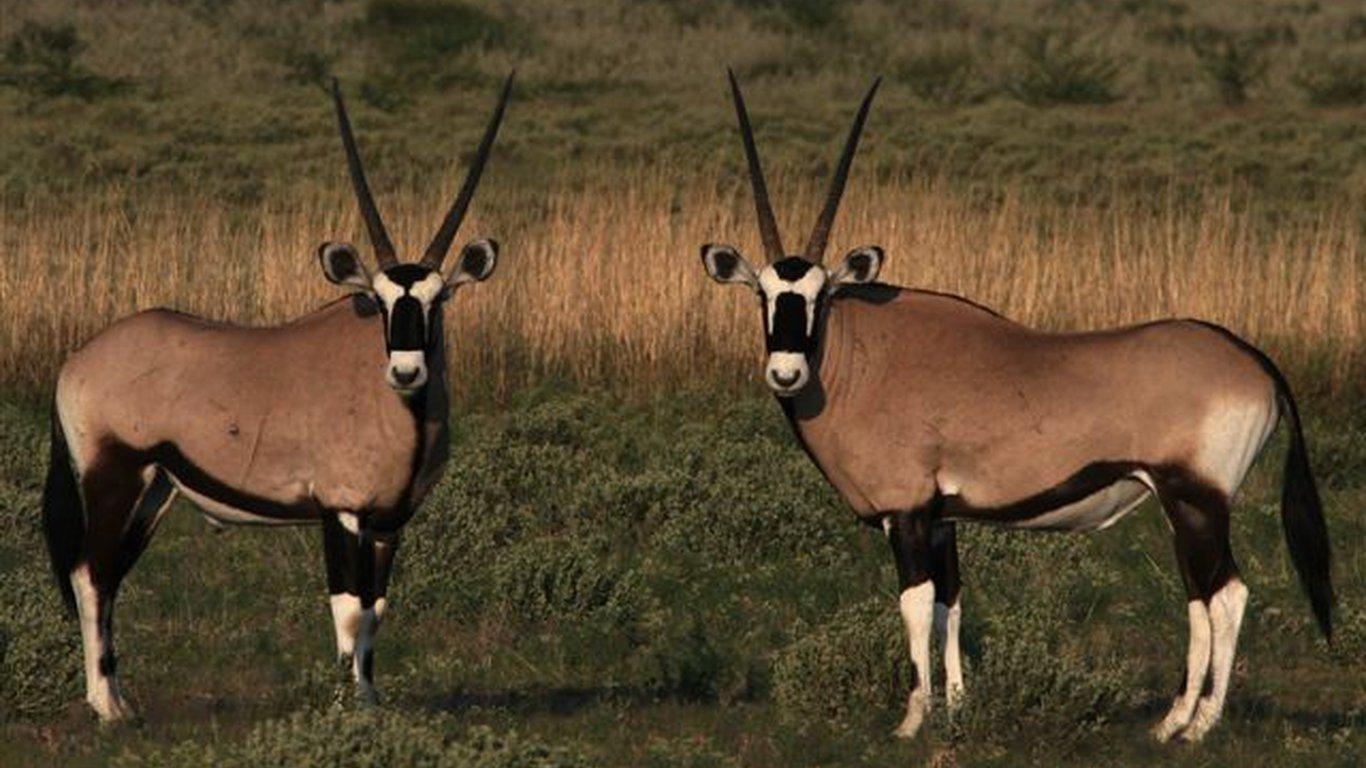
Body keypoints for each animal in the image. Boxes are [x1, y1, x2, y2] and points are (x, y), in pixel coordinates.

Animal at [42, 74, 513, 721]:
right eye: (381, 301)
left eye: (438, 301)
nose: (406, 371)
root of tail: (76, 362)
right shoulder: (340, 510)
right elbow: (348, 609)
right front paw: (344, 706)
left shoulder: (389, 521)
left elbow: (377, 610)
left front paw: (370, 699)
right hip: (114, 475)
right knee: (90, 575)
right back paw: (105, 707)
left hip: (155, 490)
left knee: (109, 577)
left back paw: (120, 698)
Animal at [704, 71, 1333, 743]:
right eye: (763, 294)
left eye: (820, 296)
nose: (786, 372)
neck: (865, 357)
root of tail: (1254, 361)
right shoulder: (943, 516)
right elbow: (950, 604)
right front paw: (958, 708)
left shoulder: (907, 513)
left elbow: (915, 604)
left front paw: (913, 718)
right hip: (1181, 507)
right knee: (1199, 596)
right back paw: (1171, 723)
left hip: (1196, 499)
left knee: (1226, 595)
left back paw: (1198, 726)